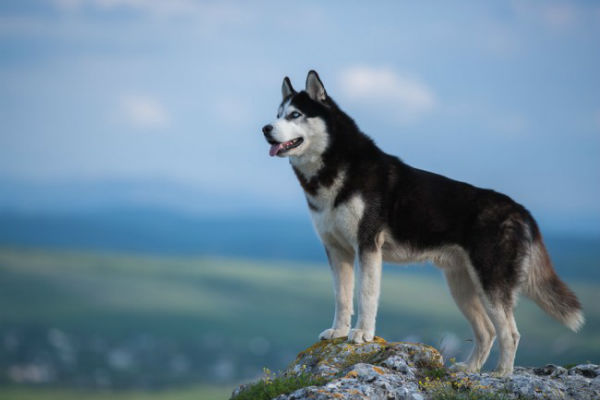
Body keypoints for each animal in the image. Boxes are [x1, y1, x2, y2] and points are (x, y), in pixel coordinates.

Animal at [260, 69, 584, 376]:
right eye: (277, 114)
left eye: (295, 114)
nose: (265, 128)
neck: (333, 169)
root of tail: (521, 210)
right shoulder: (336, 249)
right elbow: (342, 297)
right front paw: (339, 331)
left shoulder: (367, 245)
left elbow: (366, 295)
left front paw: (363, 334)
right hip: (461, 286)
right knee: (488, 331)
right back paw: (470, 370)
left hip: (491, 283)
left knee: (510, 333)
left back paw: (502, 375)